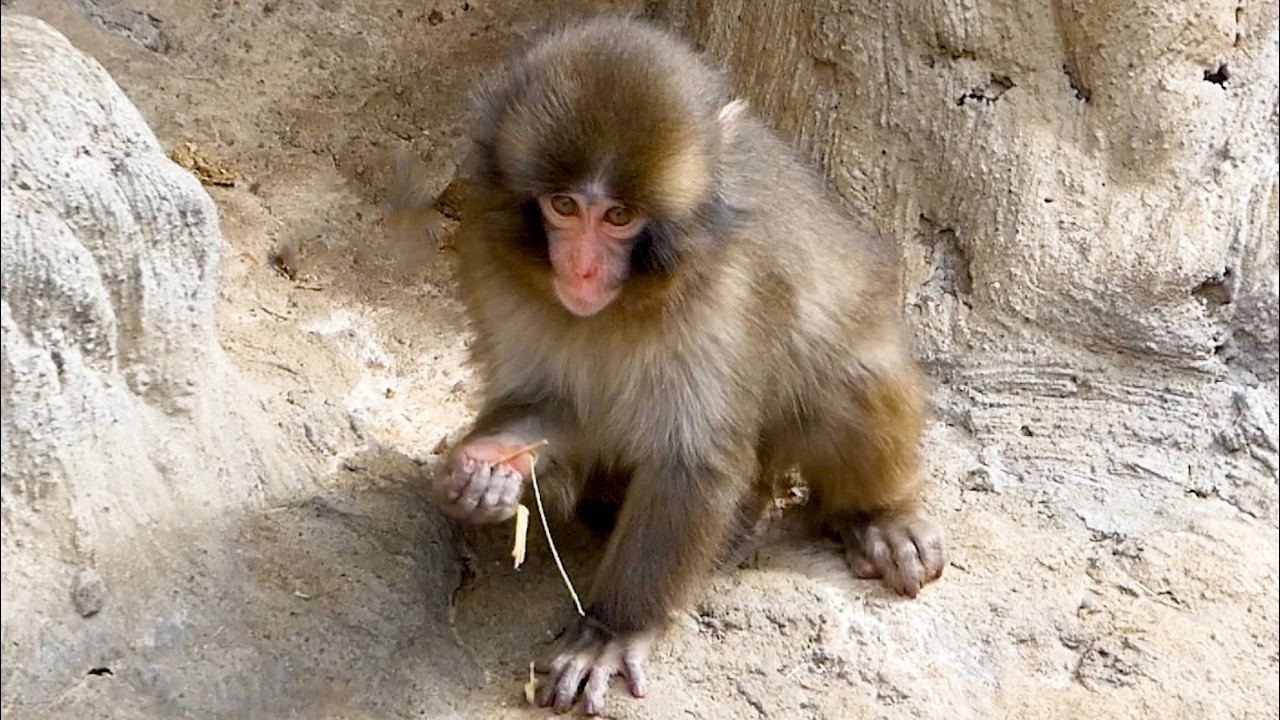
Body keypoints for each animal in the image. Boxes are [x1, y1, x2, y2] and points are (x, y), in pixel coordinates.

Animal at [428, 16, 945, 716]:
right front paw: (484, 470)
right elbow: (546, 404)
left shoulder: (728, 284)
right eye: (564, 206)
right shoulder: (490, 257)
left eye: (619, 216)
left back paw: (874, 517)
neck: (623, 304)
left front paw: (612, 631)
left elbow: (692, 458)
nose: (582, 271)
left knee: (843, 381)